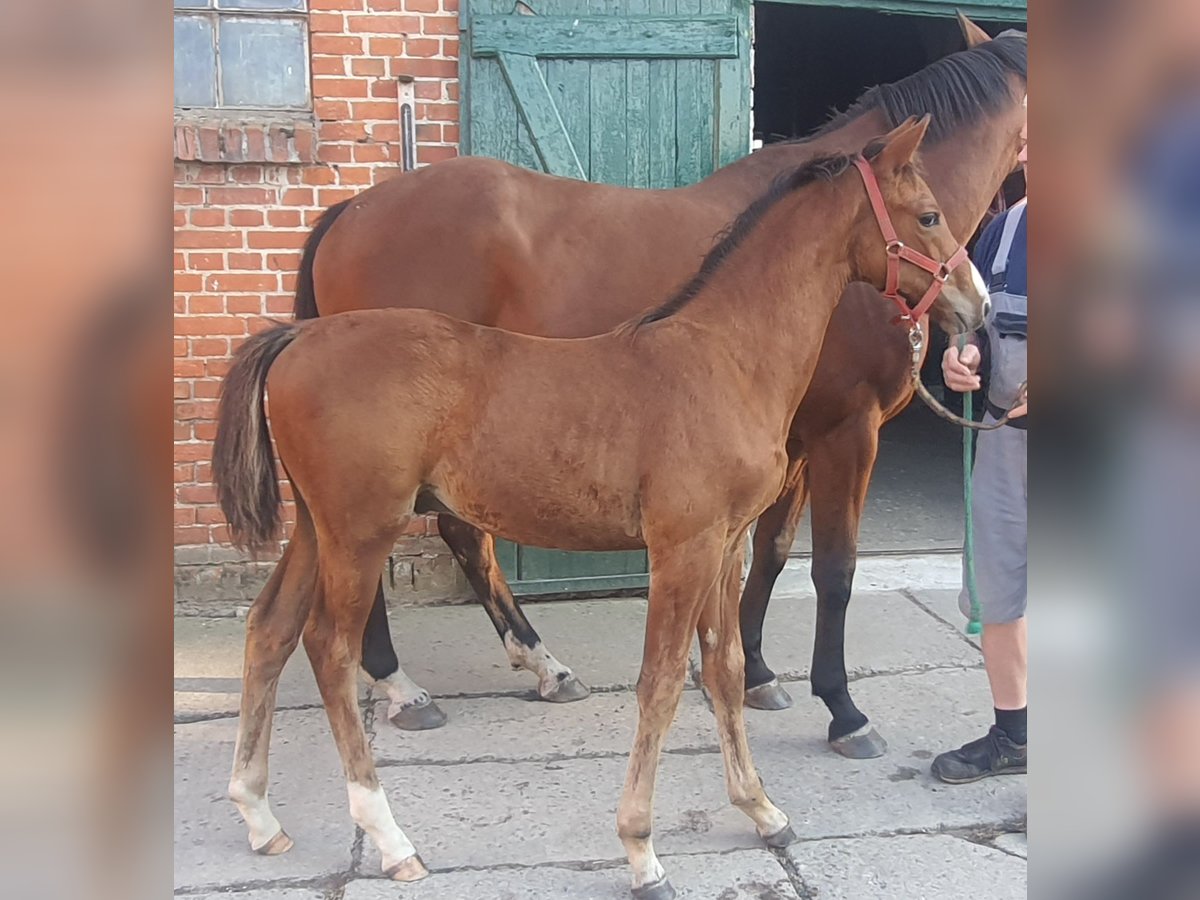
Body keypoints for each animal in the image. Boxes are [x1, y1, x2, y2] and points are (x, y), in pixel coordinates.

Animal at [213, 118, 984, 897]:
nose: (977, 305)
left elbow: (727, 670)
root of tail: (298, 338)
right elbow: (663, 683)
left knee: (269, 630)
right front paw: (642, 851)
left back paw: (258, 814)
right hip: (360, 529)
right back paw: (392, 835)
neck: (725, 355)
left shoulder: (724, 545)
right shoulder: (683, 547)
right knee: (329, 651)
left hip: (318, 528)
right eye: (928, 216)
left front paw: (762, 810)